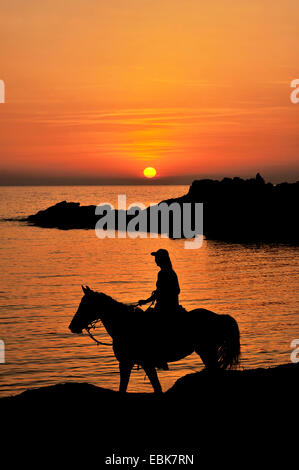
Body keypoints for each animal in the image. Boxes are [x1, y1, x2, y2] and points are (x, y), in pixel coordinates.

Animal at [68, 286, 241, 392]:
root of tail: (219, 317)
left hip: (207, 351)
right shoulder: (139, 363)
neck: (125, 324)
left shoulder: (131, 363)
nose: (72, 326)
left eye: (85, 305)